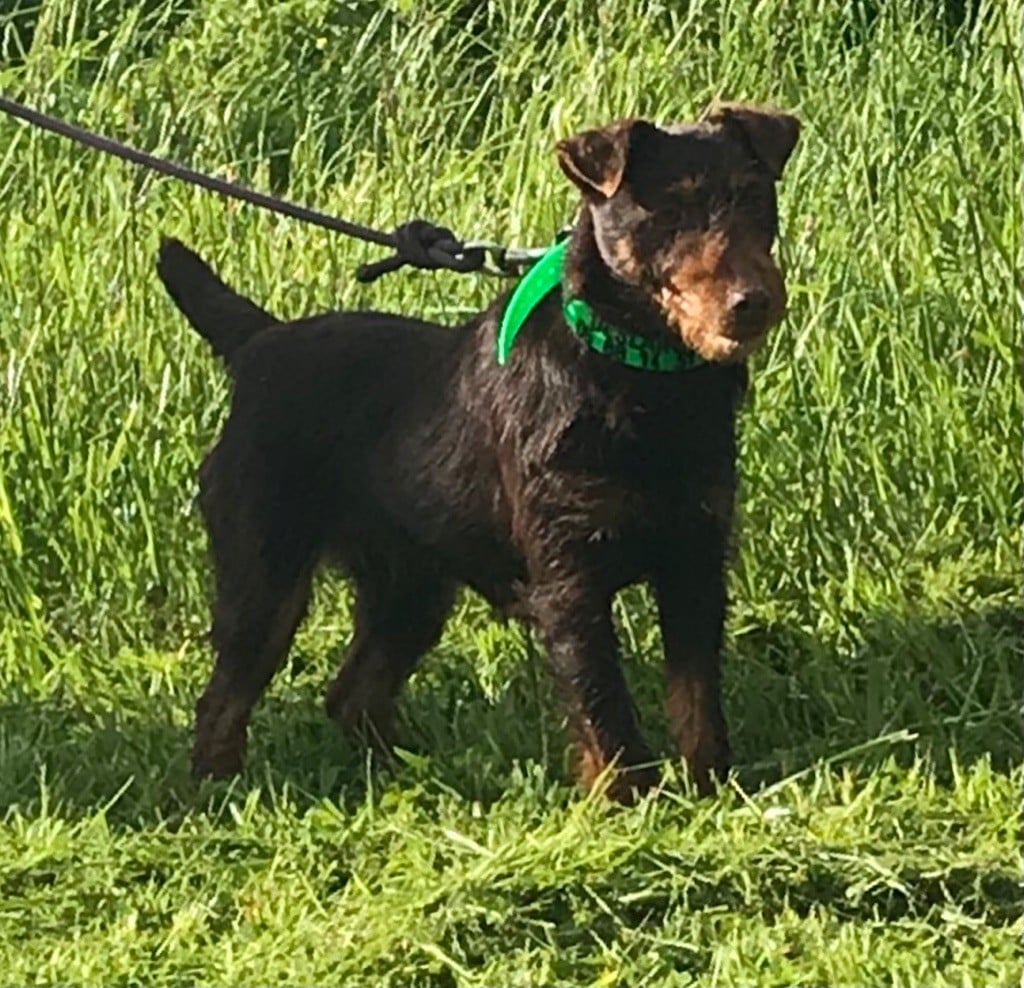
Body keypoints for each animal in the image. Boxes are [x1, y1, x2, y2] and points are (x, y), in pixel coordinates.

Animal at [156, 102, 800, 803]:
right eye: (670, 212)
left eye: (753, 196)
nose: (751, 303)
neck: (638, 371)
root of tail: (258, 342)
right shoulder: (569, 580)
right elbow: (603, 701)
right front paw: (627, 799)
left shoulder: (694, 561)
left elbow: (697, 698)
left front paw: (713, 790)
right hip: (265, 573)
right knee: (225, 699)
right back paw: (217, 791)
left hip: (409, 587)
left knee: (352, 693)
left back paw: (414, 776)